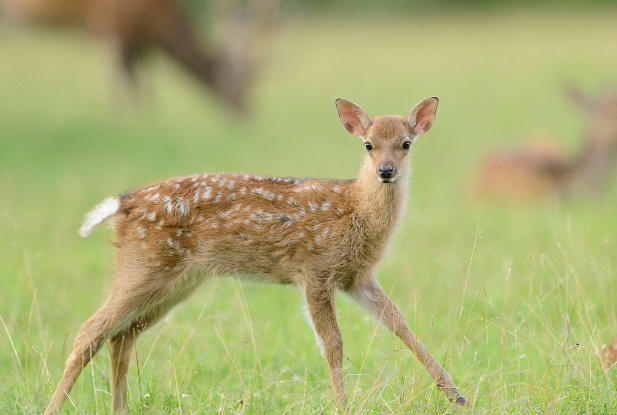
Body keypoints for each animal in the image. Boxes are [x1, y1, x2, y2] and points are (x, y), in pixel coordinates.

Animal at [0, 0, 280, 113]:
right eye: (238, 86)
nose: (249, 114)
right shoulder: (114, 28)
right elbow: (123, 86)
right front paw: (123, 121)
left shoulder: (141, 44)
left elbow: (145, 87)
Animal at [44, 98, 466, 415]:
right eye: (368, 144)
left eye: (406, 143)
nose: (385, 170)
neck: (355, 209)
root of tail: (122, 203)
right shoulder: (314, 270)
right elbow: (334, 345)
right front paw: (344, 406)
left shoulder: (356, 277)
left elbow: (399, 322)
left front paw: (455, 393)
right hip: (147, 265)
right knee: (92, 329)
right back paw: (54, 407)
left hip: (177, 279)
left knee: (122, 334)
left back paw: (119, 409)